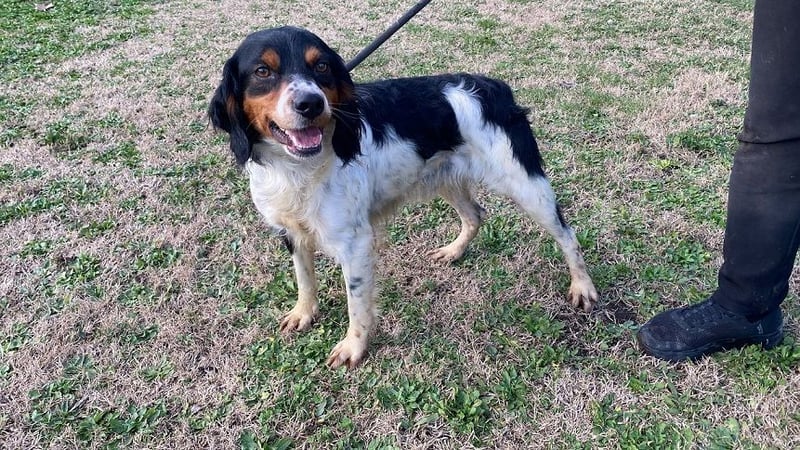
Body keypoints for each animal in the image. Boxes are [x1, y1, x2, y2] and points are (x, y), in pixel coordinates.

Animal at [208, 26, 598, 369]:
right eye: (263, 71)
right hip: (445, 177)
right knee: (475, 214)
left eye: (321, 67)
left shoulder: (356, 243)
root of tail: (493, 86)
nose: (310, 103)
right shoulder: (293, 232)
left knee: (567, 234)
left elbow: (357, 303)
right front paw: (303, 313)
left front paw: (354, 347)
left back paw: (583, 286)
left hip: (526, 185)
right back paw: (454, 251)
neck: (297, 167)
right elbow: (305, 278)